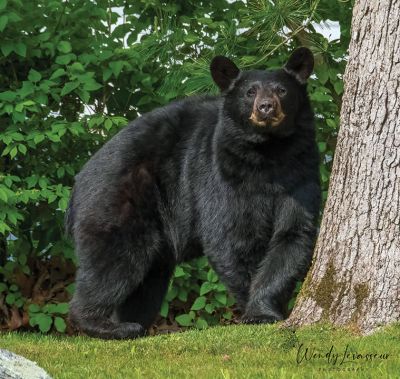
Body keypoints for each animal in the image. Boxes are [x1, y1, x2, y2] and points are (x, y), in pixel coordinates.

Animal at [66, 47, 322, 342]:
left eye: (282, 90)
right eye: (250, 92)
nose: (266, 107)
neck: (268, 153)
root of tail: (78, 182)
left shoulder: (300, 171)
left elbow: (293, 234)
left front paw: (267, 309)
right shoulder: (220, 174)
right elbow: (231, 237)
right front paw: (255, 311)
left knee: (148, 280)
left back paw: (135, 323)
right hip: (116, 199)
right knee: (113, 262)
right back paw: (106, 324)